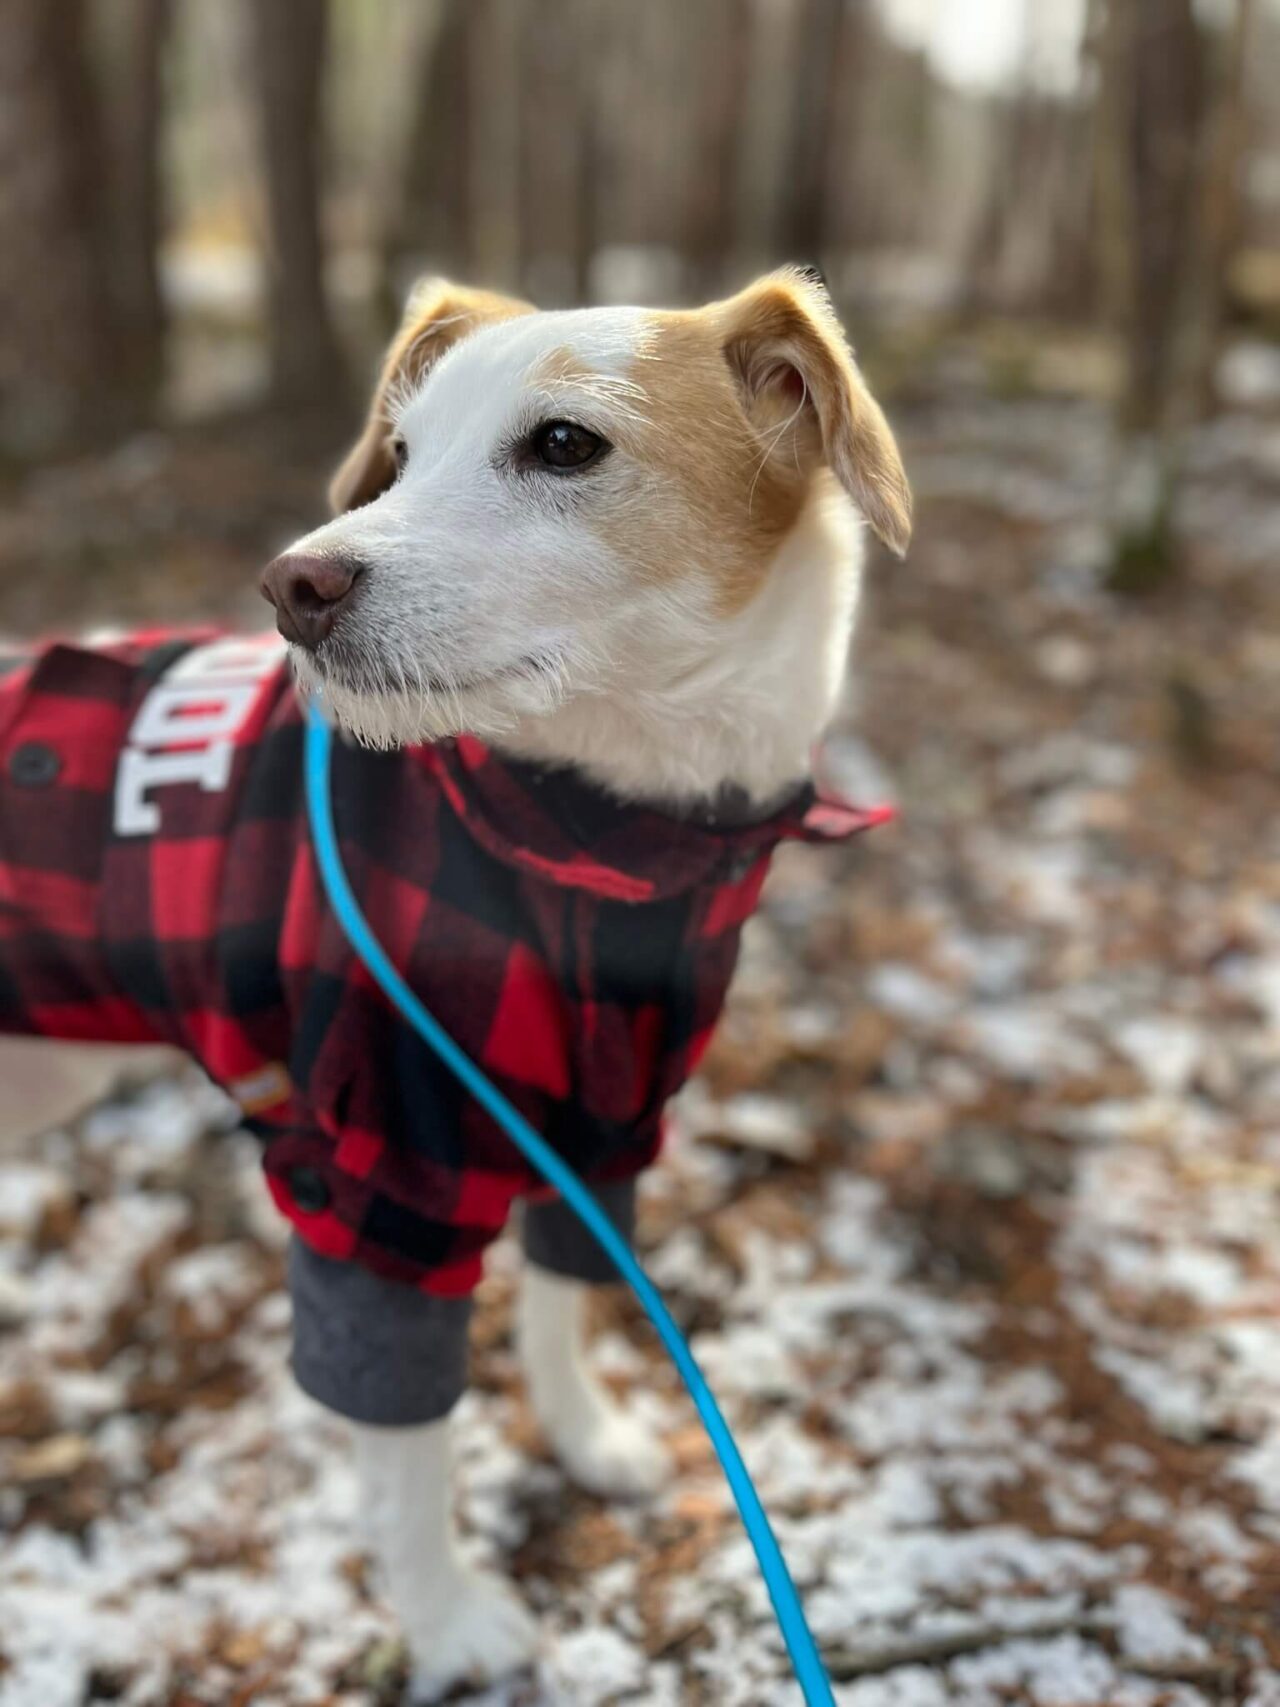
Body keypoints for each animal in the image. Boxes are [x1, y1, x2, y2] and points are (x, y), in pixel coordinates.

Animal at [0, 269, 914, 1693]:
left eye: (564, 444)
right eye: (401, 450)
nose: (292, 584)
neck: (599, 850)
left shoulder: (602, 1128)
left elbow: (559, 1305)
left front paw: (587, 1439)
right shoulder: (381, 1185)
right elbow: (407, 1446)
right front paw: (447, 1625)